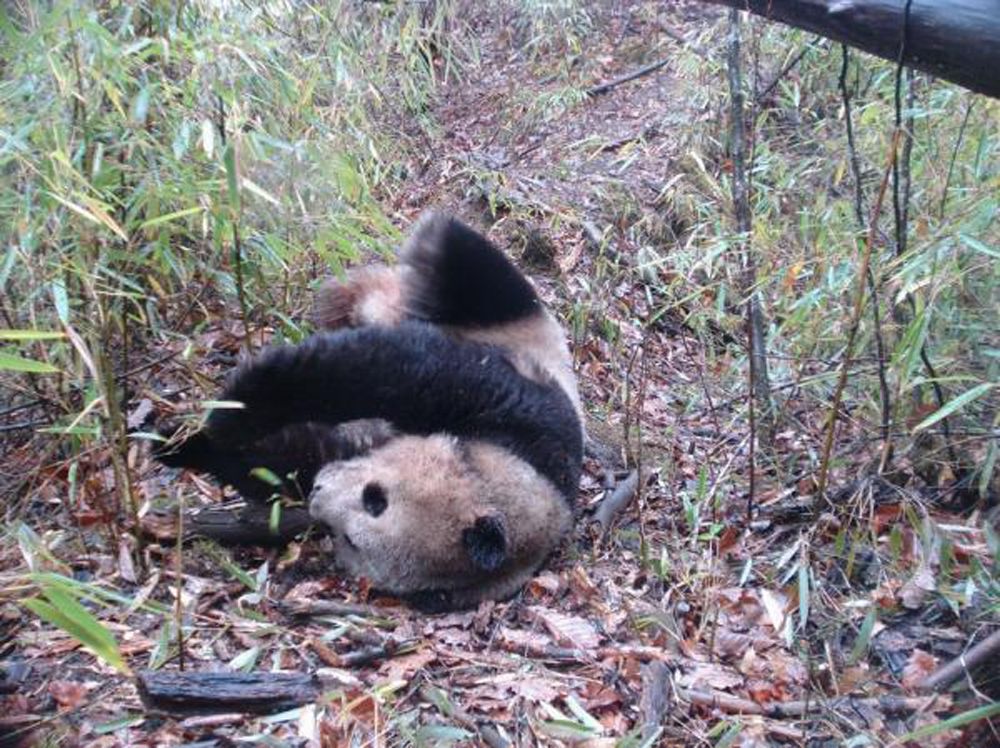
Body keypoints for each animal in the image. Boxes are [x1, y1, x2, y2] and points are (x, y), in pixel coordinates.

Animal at [152, 213, 584, 612]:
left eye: (351, 540)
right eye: (376, 497)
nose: (319, 493)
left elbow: (287, 461)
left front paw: (197, 447)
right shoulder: (519, 414)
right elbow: (395, 370)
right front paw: (218, 419)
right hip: (495, 305)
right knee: (458, 260)